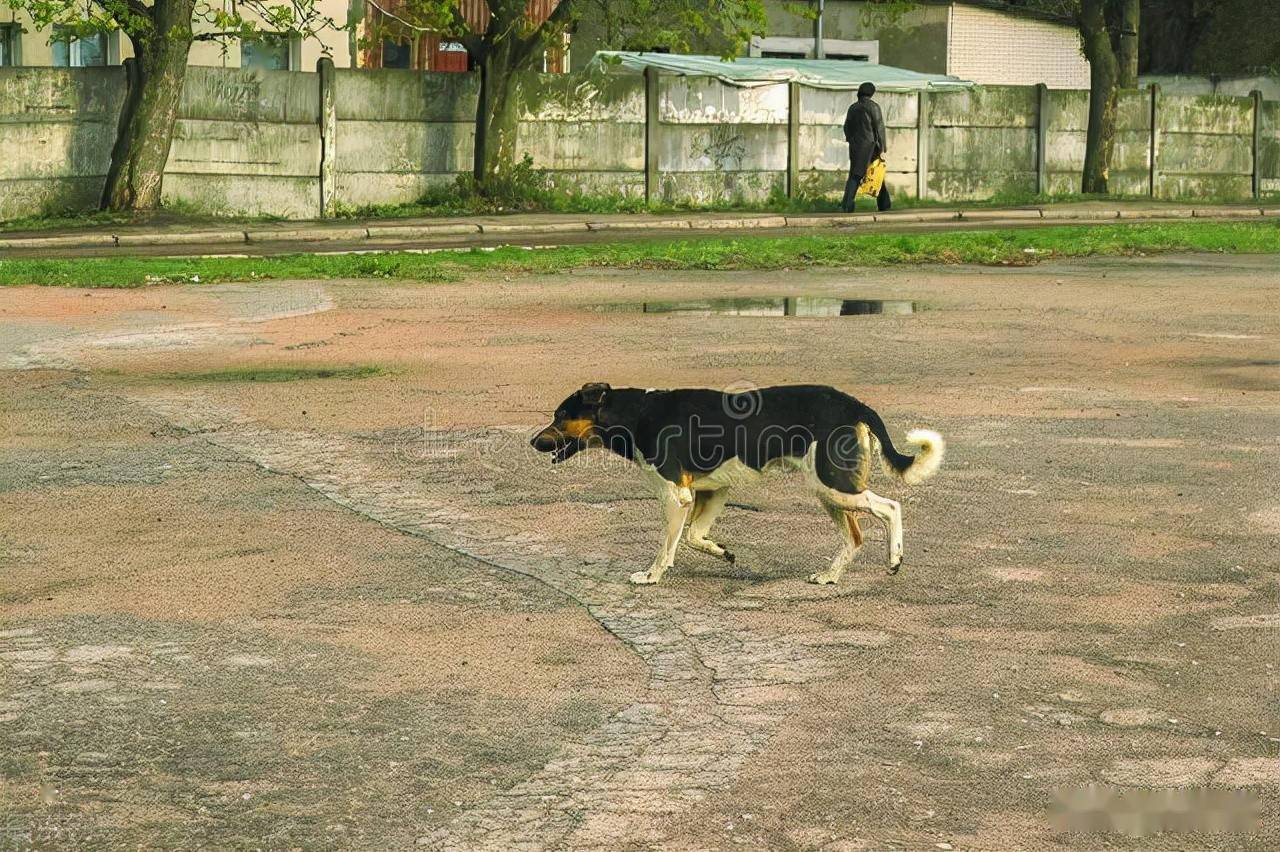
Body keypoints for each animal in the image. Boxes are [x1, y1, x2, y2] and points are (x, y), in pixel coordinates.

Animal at [527, 383, 942, 583]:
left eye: (559, 416)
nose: (532, 442)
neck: (638, 414)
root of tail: (855, 404)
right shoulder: (712, 491)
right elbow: (695, 537)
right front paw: (722, 551)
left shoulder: (676, 496)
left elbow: (666, 547)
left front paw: (651, 576)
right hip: (829, 492)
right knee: (854, 537)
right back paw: (829, 577)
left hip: (833, 484)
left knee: (891, 507)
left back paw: (895, 558)